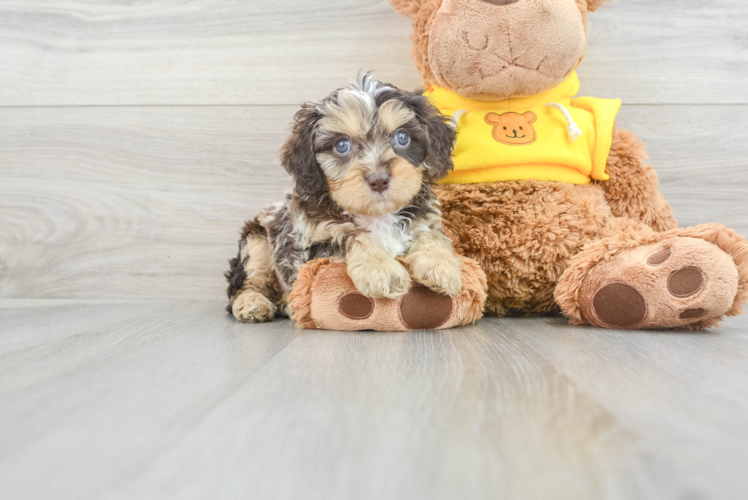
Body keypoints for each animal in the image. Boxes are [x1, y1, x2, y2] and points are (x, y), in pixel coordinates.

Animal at [225, 75, 462, 324]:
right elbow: (351, 235)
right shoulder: (312, 243)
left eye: (402, 137)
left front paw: (441, 266)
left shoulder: (423, 218)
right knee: (246, 283)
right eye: (341, 145)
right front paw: (382, 271)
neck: (376, 215)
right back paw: (253, 303)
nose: (379, 180)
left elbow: (431, 235)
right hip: (257, 239)